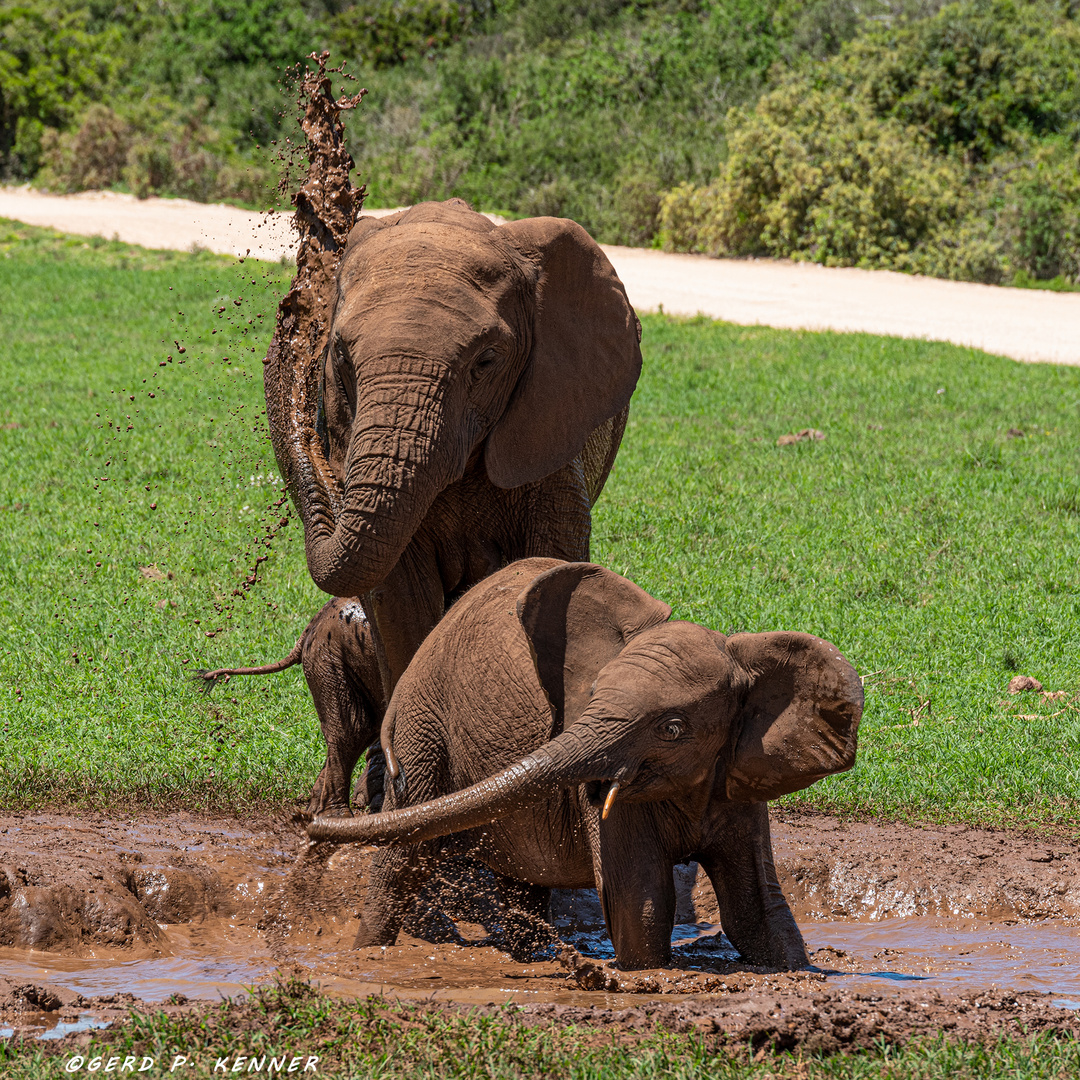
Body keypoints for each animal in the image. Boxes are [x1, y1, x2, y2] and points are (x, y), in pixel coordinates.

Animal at [259, 196, 639, 816]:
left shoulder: (552, 429)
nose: (293, 315)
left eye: (486, 361)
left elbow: (549, 569)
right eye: (339, 355)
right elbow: (402, 594)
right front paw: (414, 803)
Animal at [308, 557, 864, 972]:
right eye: (592, 695)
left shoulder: (731, 775)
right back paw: (366, 957)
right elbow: (642, 903)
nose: (310, 825)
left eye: (672, 728)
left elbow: (758, 910)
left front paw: (801, 972)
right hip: (423, 731)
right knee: (402, 861)